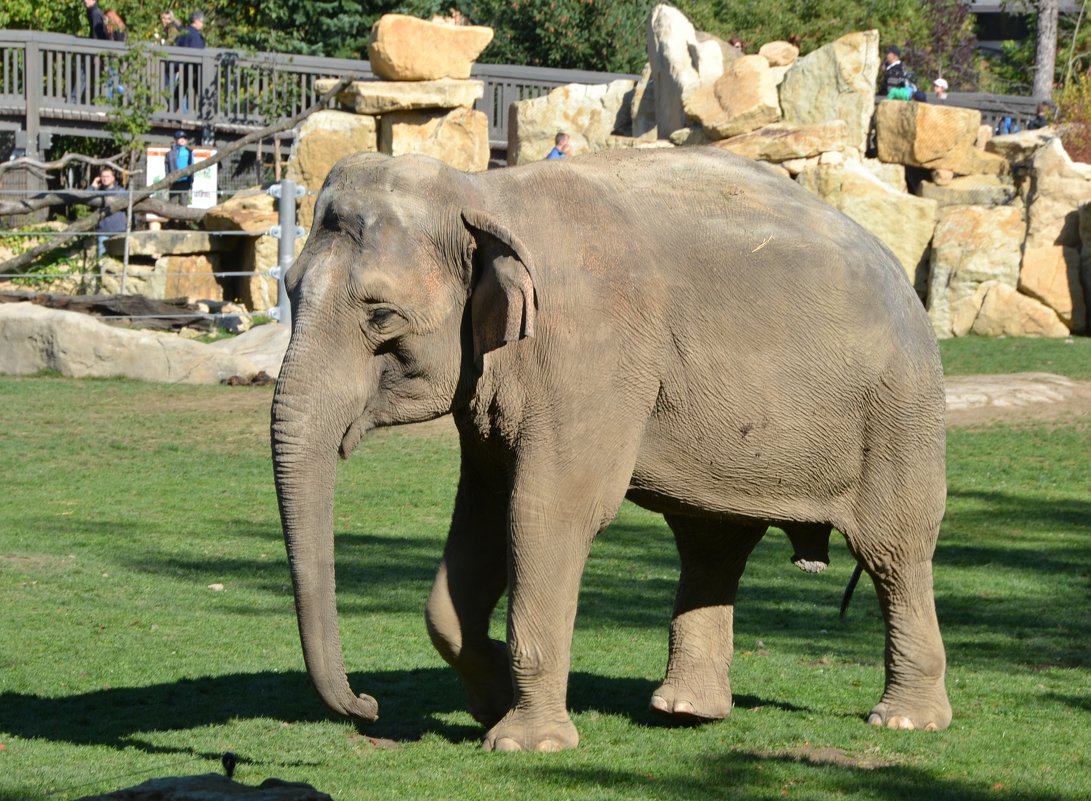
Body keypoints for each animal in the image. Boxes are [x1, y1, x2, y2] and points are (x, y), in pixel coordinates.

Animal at [268, 144, 951, 750]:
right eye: (289, 289)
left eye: (381, 315)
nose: (368, 706)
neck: (483, 194)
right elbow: (483, 519)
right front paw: (491, 706)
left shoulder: (590, 350)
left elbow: (546, 511)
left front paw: (525, 744)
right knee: (712, 544)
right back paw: (686, 713)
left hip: (900, 411)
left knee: (895, 551)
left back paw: (904, 722)